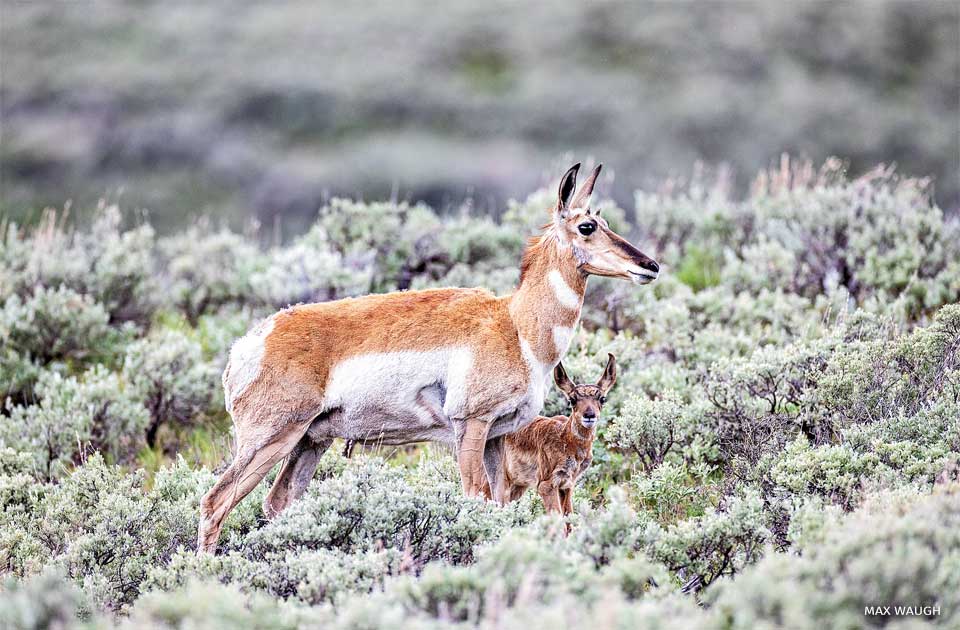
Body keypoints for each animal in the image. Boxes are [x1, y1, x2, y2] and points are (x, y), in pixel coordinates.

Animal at [490, 355, 616, 531]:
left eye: (602, 398)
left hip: (517, 486)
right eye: (572, 399)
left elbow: (569, 521)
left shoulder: (567, 485)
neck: (565, 438)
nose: (589, 415)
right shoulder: (547, 486)